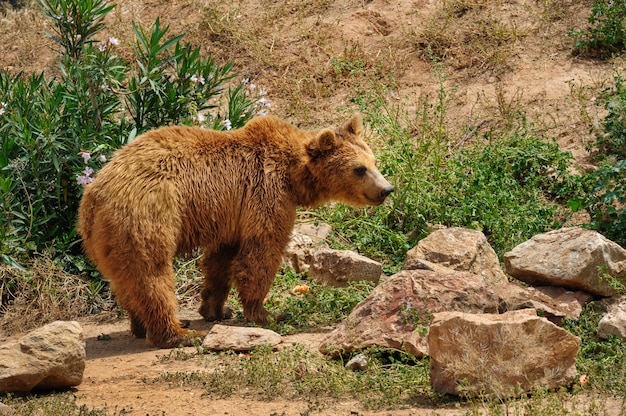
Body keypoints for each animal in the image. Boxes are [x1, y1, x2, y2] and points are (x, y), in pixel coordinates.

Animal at [77, 114, 390, 348]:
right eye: (359, 169)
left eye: (374, 161)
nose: (387, 189)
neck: (294, 176)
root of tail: (93, 196)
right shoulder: (265, 194)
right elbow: (260, 253)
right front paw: (267, 312)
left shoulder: (230, 216)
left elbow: (221, 261)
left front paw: (216, 308)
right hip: (147, 216)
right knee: (152, 275)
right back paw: (178, 333)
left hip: (110, 238)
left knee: (126, 280)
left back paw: (142, 324)